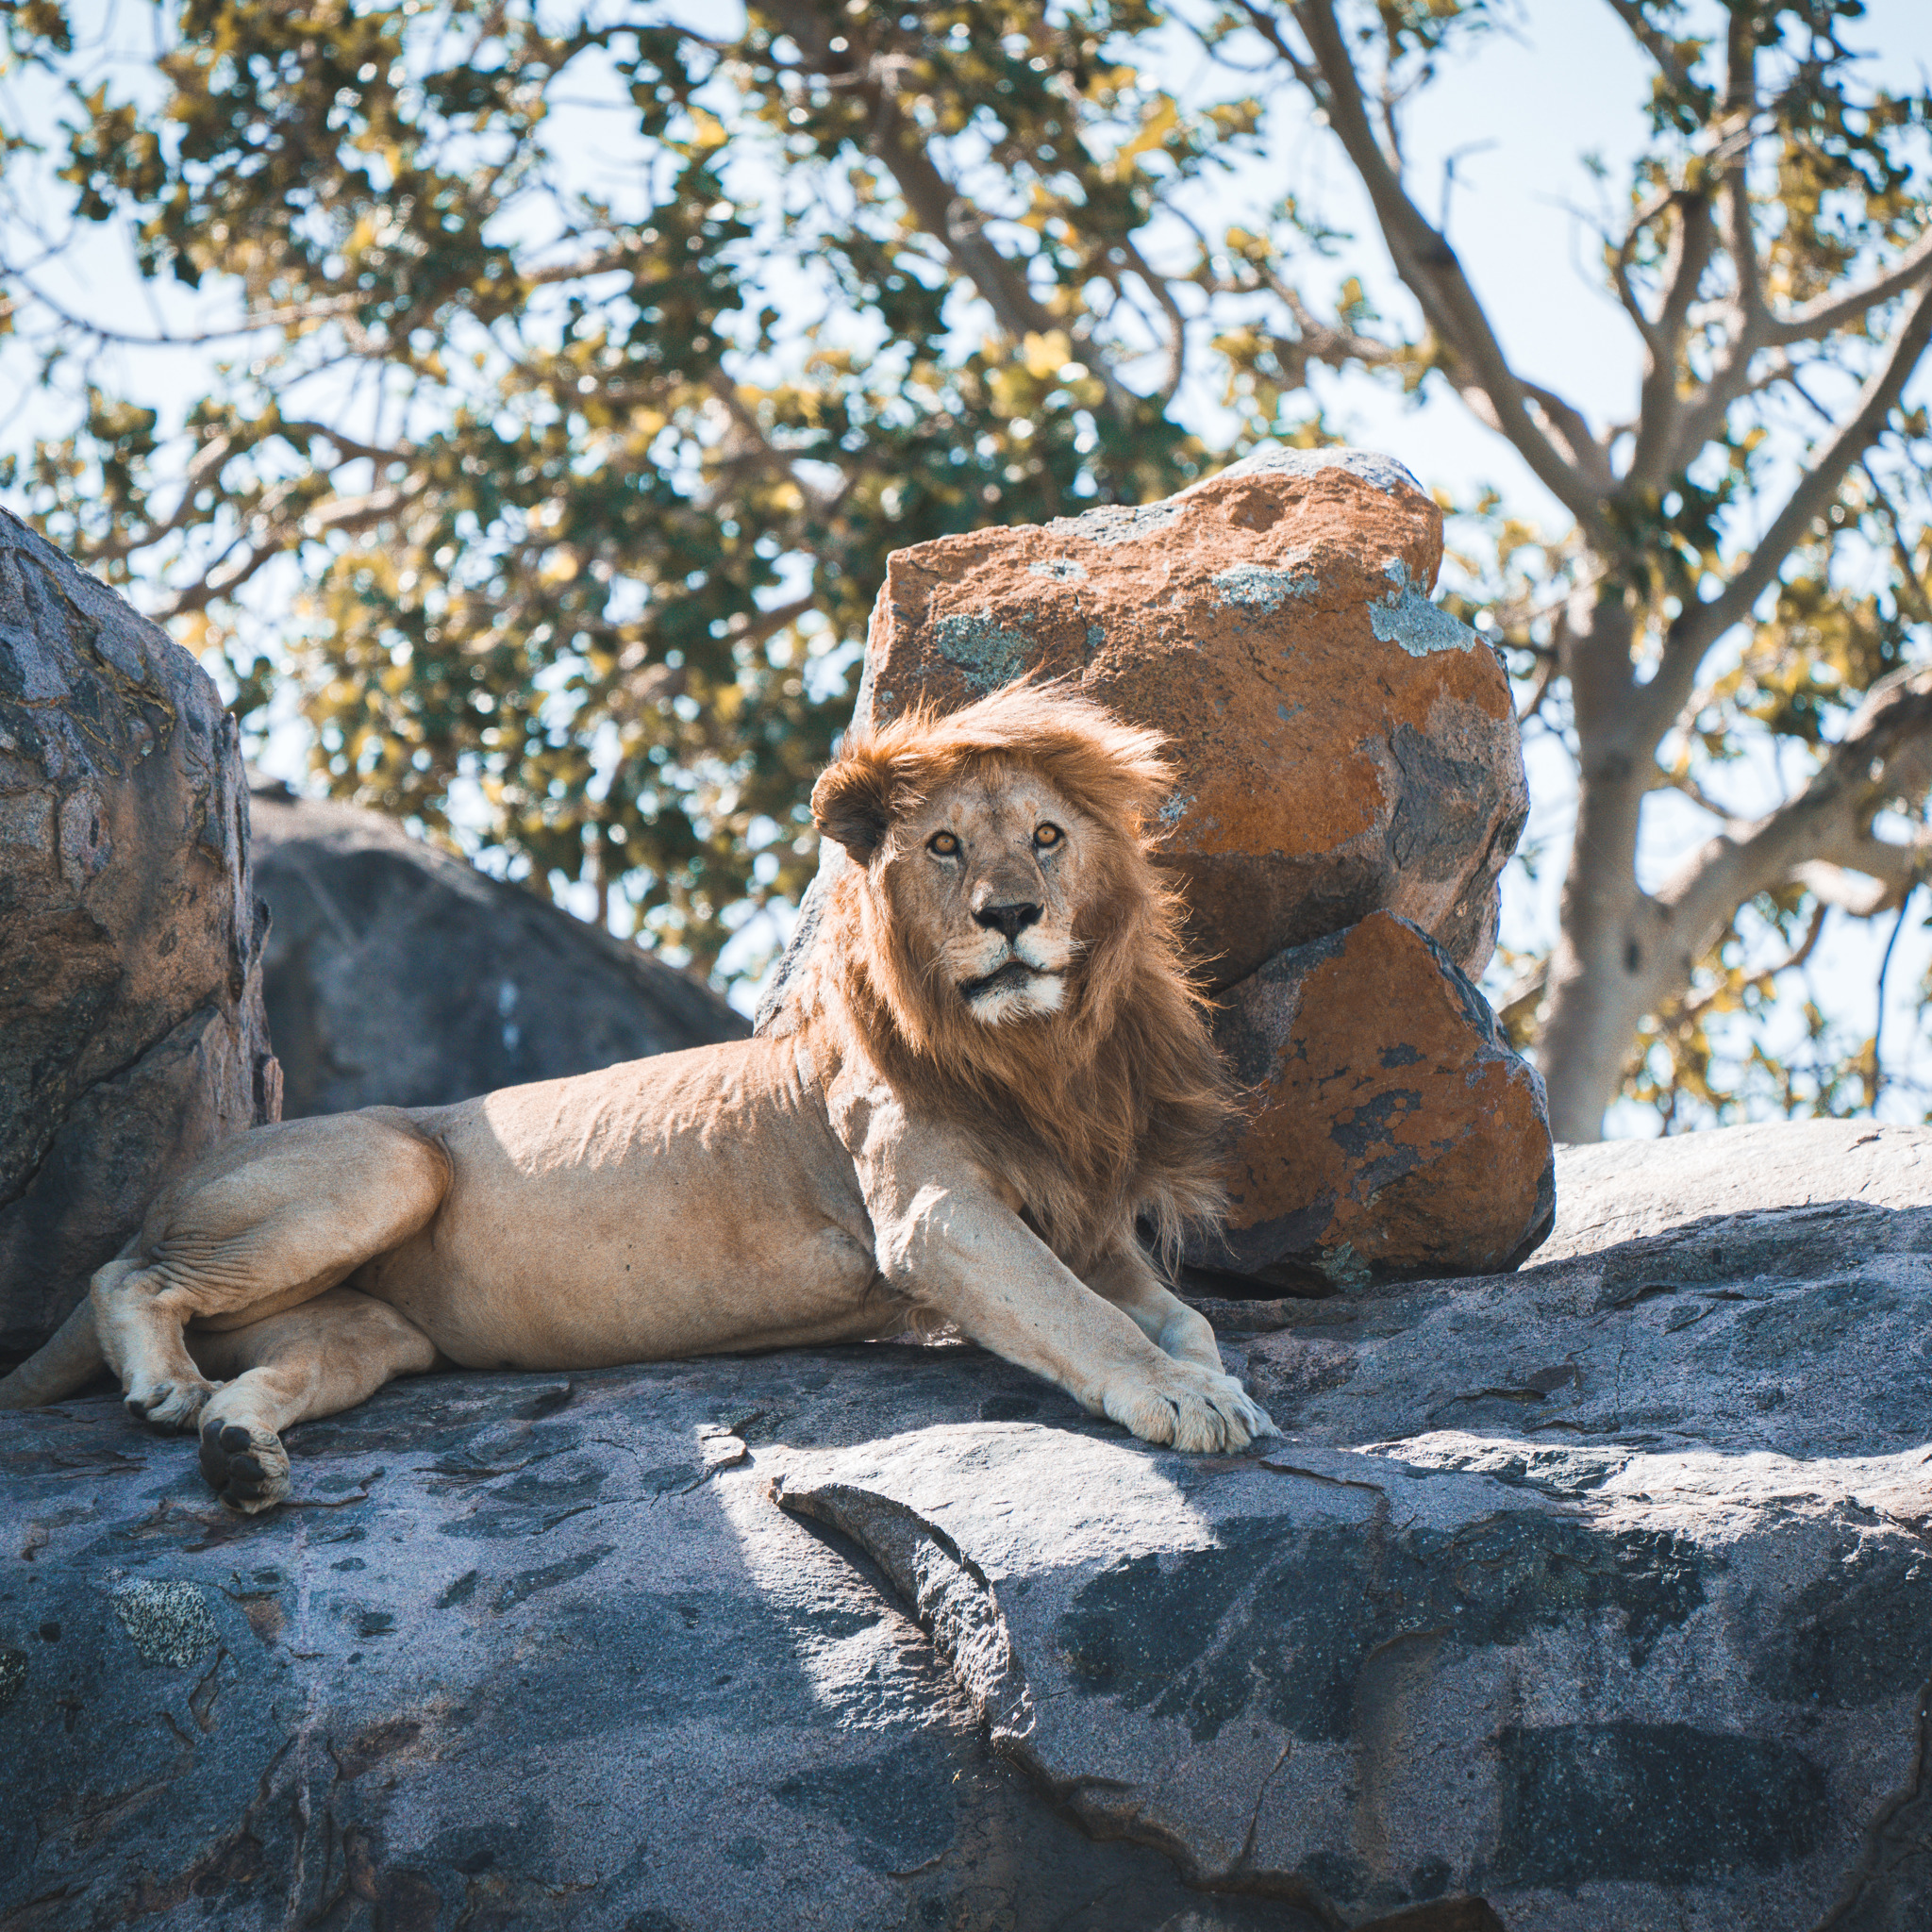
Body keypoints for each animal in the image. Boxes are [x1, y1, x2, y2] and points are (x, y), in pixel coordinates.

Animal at [4, 679, 1282, 1507]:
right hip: (392, 1162)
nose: (1009, 914)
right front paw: (1184, 1400)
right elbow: (1087, 1317)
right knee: (123, 1272)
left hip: (375, 1330)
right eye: (945, 847)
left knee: (284, 1357)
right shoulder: (933, 1216)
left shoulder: (1085, 1219)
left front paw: (1213, 1375)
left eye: (1048, 837)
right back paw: (166, 1388)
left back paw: (237, 1452)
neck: (1037, 1051)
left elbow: (1177, 1312)